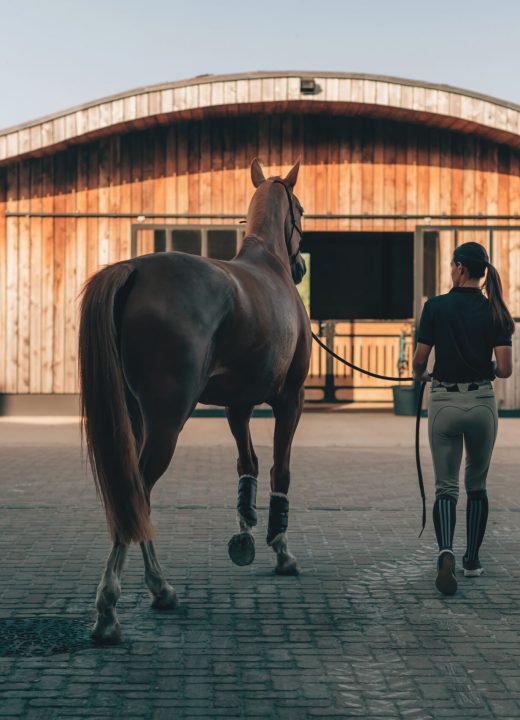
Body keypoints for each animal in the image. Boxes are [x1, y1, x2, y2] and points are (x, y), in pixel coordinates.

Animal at [79, 156, 310, 640]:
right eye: (301, 208)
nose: (301, 266)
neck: (268, 264)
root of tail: (134, 270)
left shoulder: (238, 406)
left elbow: (247, 464)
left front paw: (245, 535)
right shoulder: (289, 400)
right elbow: (279, 470)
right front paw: (280, 549)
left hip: (135, 418)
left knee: (135, 498)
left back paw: (158, 591)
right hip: (167, 420)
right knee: (138, 491)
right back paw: (114, 605)